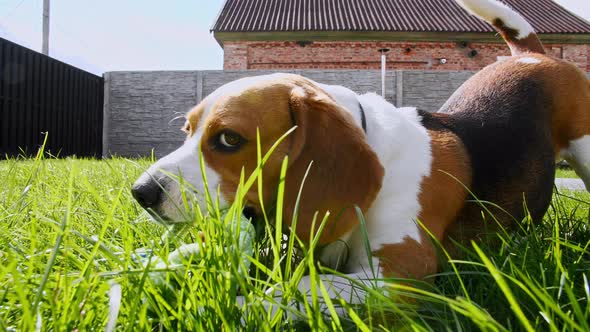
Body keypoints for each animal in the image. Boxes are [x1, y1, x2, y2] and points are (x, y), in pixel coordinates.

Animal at [133, 0, 590, 306]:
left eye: (229, 139)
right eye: (187, 131)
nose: (141, 192)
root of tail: (532, 55)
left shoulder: (399, 272)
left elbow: (291, 290)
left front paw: (239, 306)